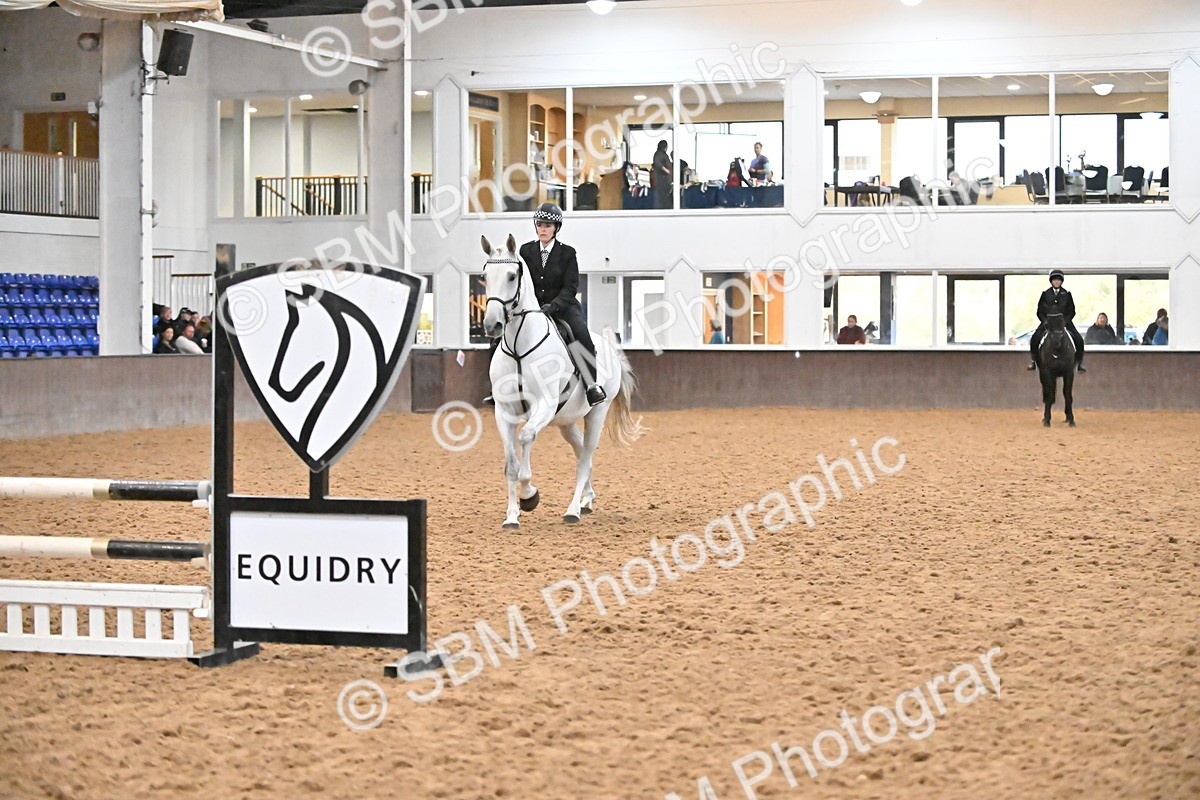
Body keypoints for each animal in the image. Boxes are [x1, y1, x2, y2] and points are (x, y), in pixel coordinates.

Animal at [480, 234, 645, 529]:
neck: (520, 344)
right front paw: (511, 516)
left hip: (596, 414)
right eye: (484, 276)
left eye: (512, 276)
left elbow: (526, 438)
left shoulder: (543, 406)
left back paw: (573, 510)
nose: (492, 325)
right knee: (580, 452)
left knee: (586, 458)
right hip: (566, 421)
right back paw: (587, 500)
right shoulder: (504, 412)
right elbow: (510, 465)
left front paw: (529, 496)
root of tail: (610, 350)